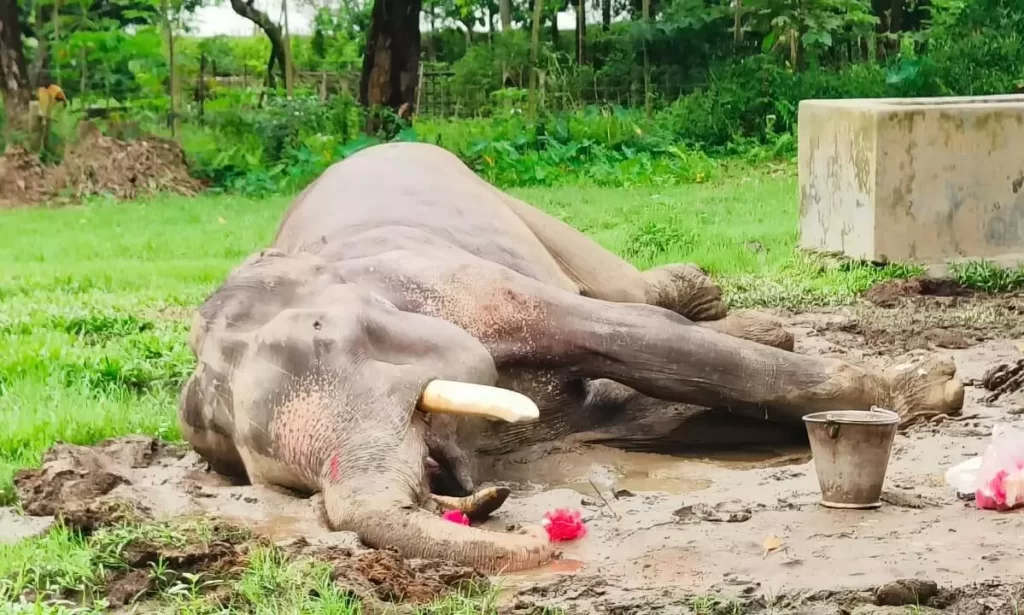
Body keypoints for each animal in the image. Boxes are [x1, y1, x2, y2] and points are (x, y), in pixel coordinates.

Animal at [180, 142, 964, 574]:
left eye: (321, 332)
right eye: (277, 482)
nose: (538, 531)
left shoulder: (451, 280)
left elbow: (643, 339)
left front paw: (931, 388)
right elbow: (649, 414)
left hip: (506, 201)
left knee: (632, 293)